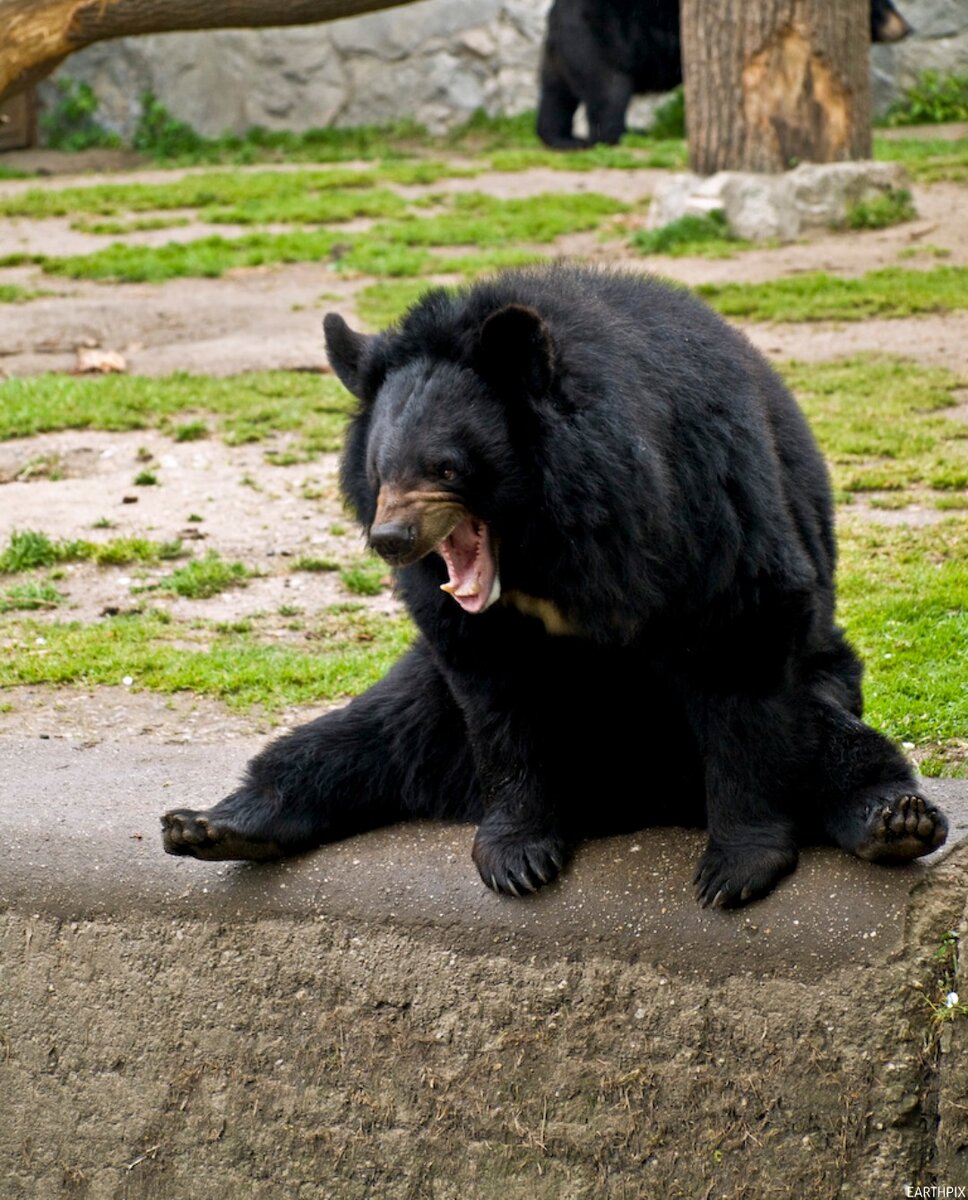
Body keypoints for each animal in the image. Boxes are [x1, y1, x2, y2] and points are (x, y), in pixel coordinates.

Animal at [163, 267, 950, 907]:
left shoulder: (701, 495)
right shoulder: (472, 624)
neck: (545, 537)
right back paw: (211, 825)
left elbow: (744, 638)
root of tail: (630, 797)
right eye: (379, 468)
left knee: (836, 746)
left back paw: (897, 820)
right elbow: (497, 697)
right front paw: (517, 858)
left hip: (818, 679)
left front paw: (737, 869)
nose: (390, 539)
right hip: (426, 705)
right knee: (355, 738)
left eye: (446, 467)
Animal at [542, 0, 911, 148]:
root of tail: (555, 14)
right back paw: (620, 135)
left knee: (555, 96)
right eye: (886, 5)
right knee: (610, 94)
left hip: (564, 52)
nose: (907, 27)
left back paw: (562, 139)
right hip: (602, 40)